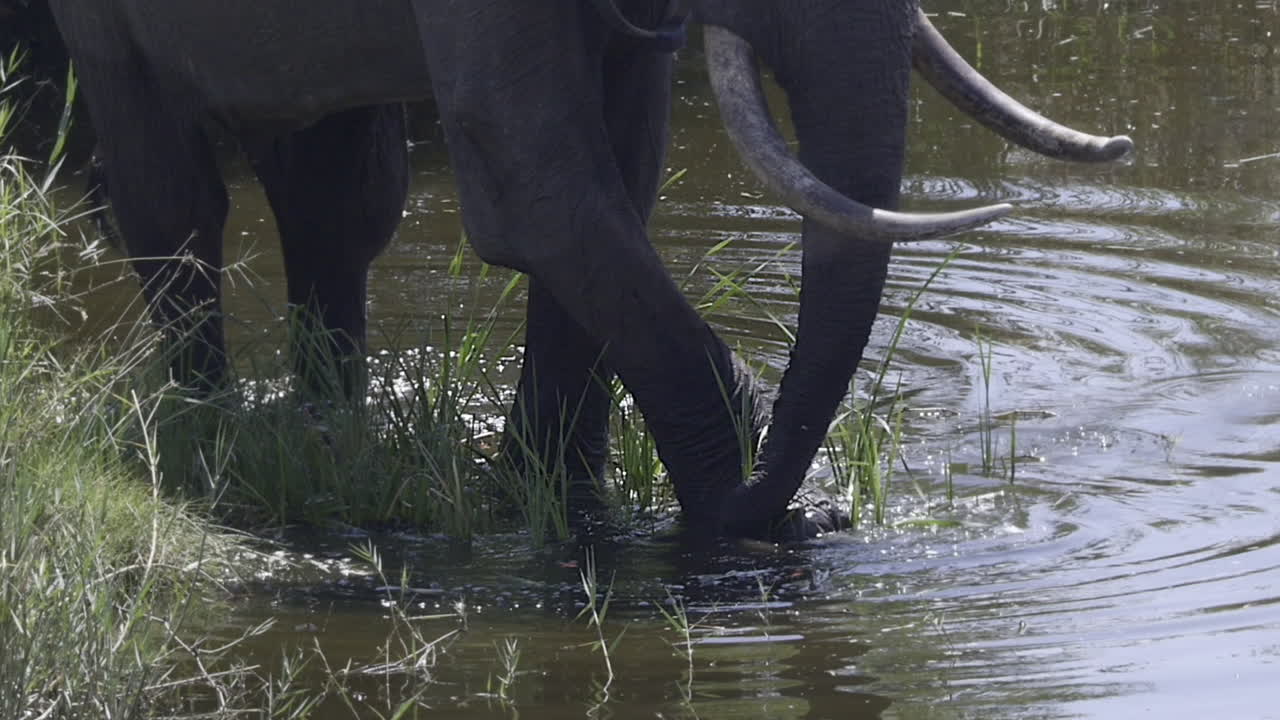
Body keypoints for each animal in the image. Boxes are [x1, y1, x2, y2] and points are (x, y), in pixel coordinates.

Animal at [49, 0, 1130, 538]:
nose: (814, 512)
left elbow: (619, 165)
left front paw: (554, 490)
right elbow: (529, 180)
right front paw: (738, 512)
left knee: (337, 190)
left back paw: (322, 425)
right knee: (170, 191)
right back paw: (209, 425)